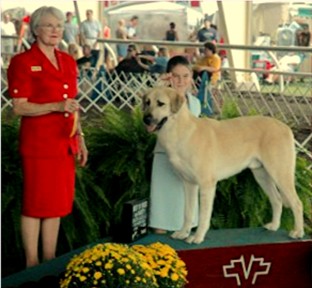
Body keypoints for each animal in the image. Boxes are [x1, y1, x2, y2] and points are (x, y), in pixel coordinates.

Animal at [143, 86, 304, 244]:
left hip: (280, 174)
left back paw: (298, 232)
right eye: (147, 102)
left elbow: (203, 217)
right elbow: (188, 213)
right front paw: (183, 233)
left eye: (161, 103)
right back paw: (274, 226)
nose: (146, 119)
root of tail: (286, 127)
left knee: (297, 203)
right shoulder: (189, 184)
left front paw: (197, 237)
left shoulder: (207, 185)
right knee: (277, 200)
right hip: (262, 175)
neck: (180, 130)